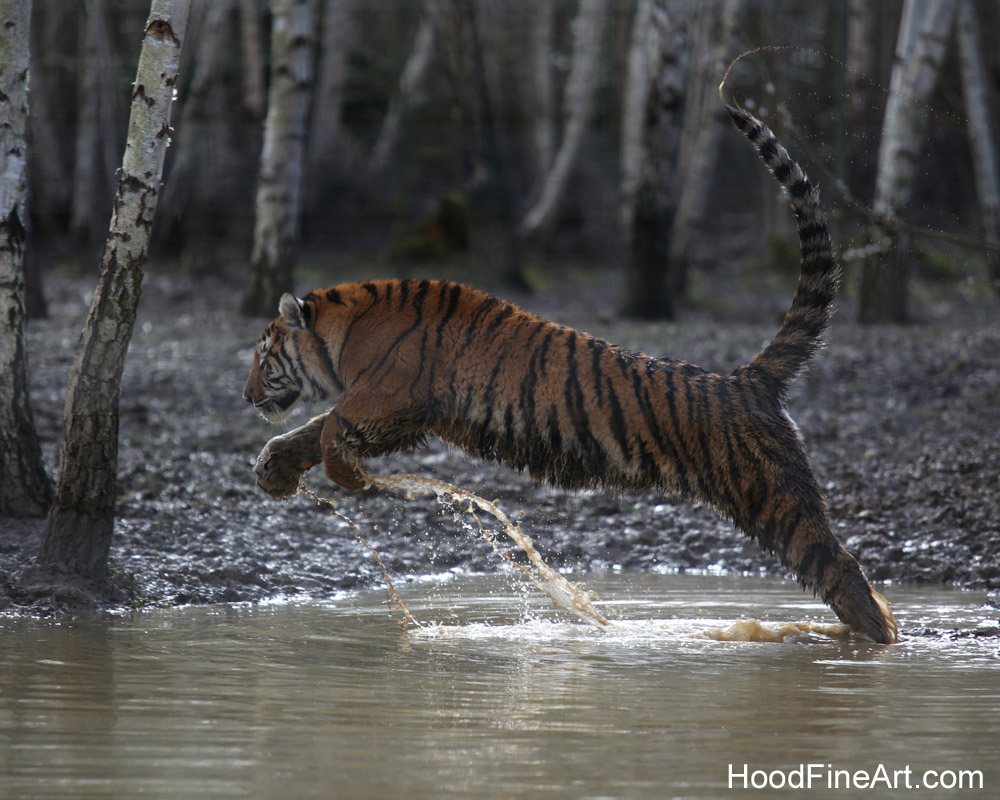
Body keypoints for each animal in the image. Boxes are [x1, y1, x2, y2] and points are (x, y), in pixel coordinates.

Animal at [243, 105, 898, 644]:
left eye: (261, 354)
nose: (247, 396)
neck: (342, 334)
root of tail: (746, 377)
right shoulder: (387, 407)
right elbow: (312, 430)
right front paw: (273, 470)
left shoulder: (390, 397)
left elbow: (331, 429)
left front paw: (346, 478)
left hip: (774, 497)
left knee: (841, 569)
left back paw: (875, 641)